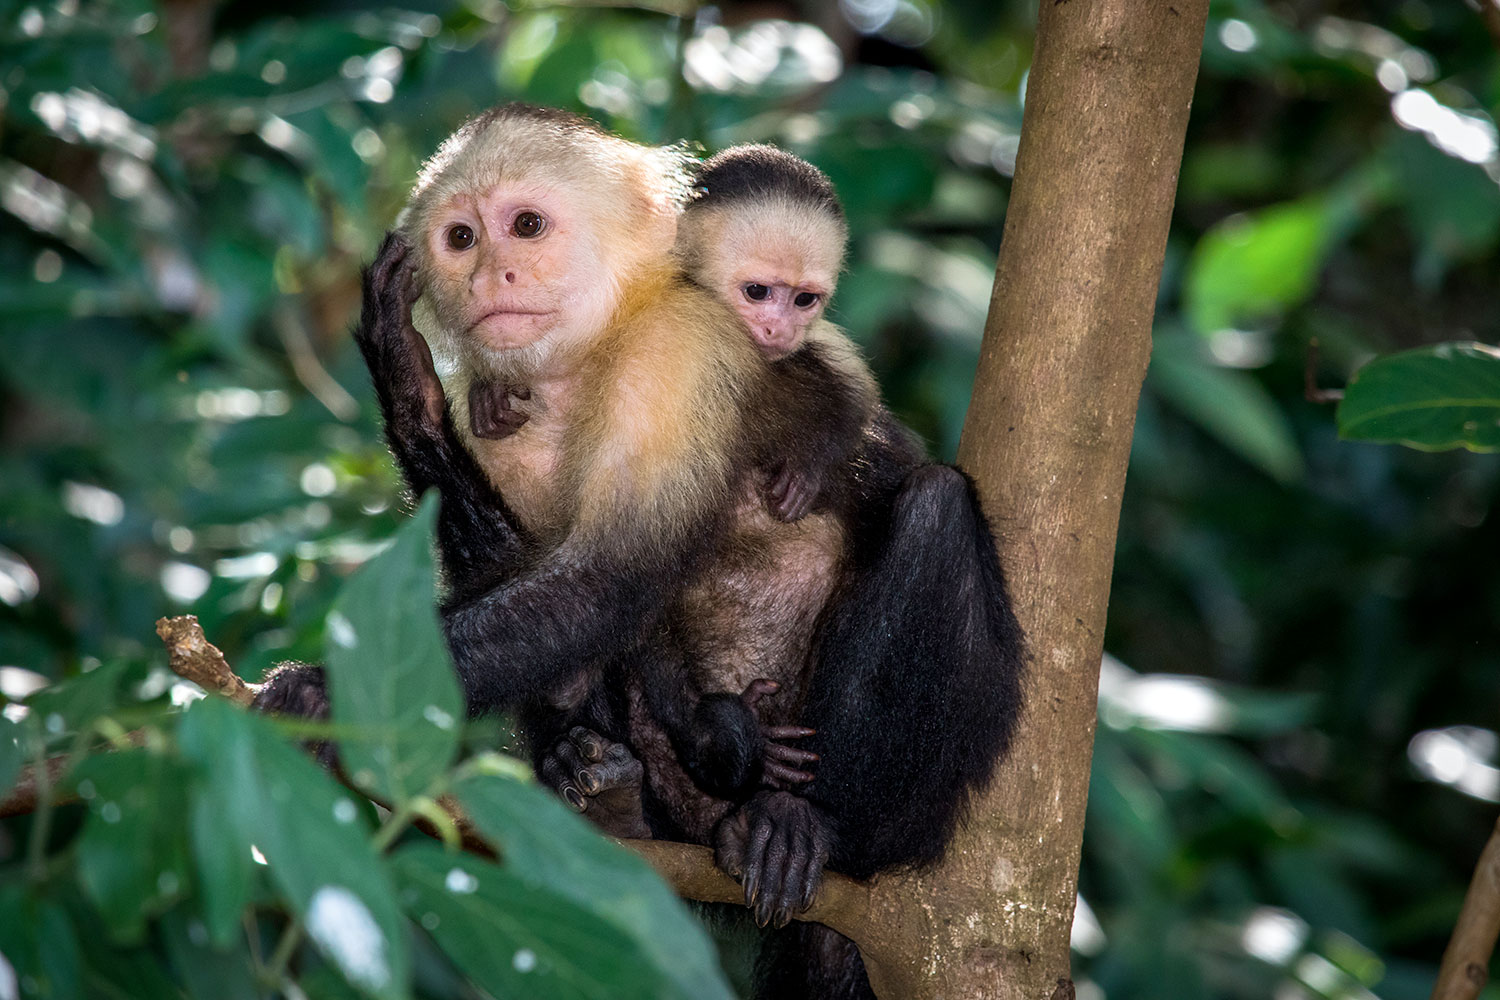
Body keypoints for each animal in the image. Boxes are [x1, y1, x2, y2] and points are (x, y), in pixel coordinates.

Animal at [258, 103, 1026, 1000]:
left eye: (524, 227)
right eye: (459, 238)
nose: (488, 277)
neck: (588, 357)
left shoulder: (682, 352)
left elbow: (610, 580)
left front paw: (318, 691)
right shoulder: (505, 420)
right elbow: (543, 590)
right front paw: (405, 378)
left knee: (935, 508)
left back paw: (810, 824)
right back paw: (617, 803)